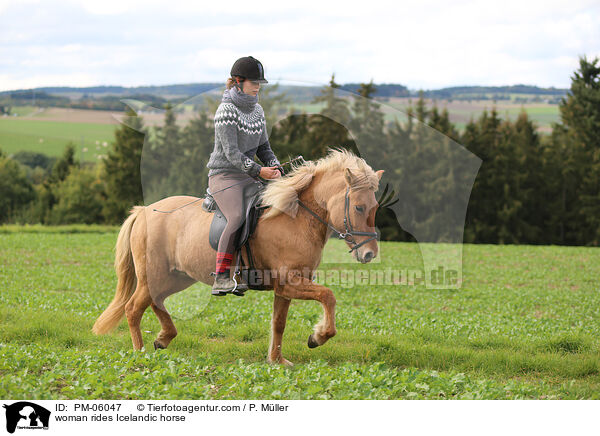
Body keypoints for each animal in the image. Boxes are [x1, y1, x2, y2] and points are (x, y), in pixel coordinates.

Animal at [94, 148, 384, 366]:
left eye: (375, 206)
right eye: (359, 207)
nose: (369, 253)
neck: (295, 217)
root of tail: (143, 211)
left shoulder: (285, 288)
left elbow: (279, 323)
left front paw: (277, 361)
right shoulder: (292, 283)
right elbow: (328, 295)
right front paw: (318, 337)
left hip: (177, 277)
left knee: (156, 301)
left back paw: (163, 338)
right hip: (153, 275)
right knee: (133, 308)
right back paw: (140, 354)